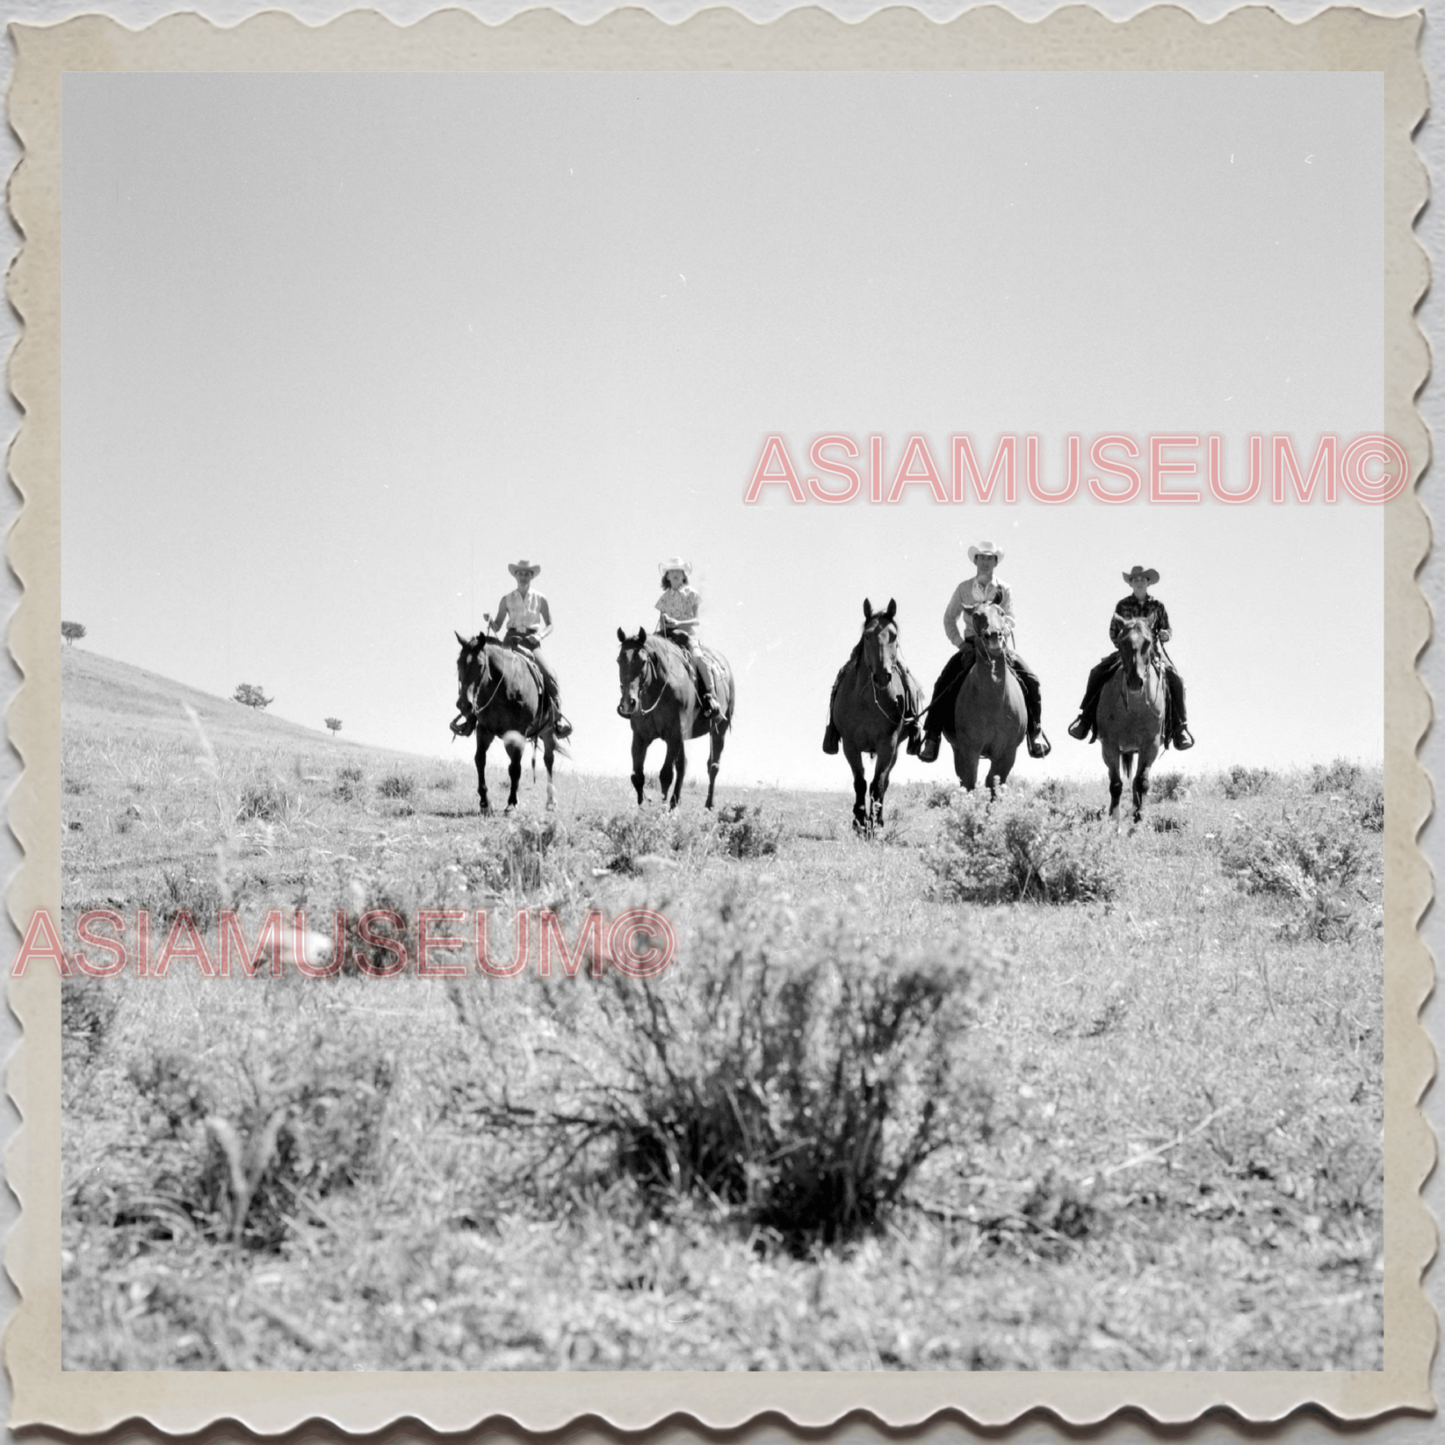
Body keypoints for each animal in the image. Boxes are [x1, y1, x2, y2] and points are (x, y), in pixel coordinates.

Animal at [453, 630, 560, 814]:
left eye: (480, 665)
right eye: (458, 663)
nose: (464, 705)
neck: (505, 687)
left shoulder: (519, 732)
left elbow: (515, 768)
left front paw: (511, 804)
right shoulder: (484, 729)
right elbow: (480, 759)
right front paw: (485, 803)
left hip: (548, 731)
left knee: (548, 760)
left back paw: (551, 801)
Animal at [618, 624, 739, 809]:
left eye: (643, 662)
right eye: (619, 661)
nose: (628, 702)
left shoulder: (673, 736)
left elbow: (666, 774)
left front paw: (662, 807)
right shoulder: (640, 737)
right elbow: (637, 776)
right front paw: (642, 807)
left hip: (719, 730)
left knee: (713, 766)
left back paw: (709, 804)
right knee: (683, 765)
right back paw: (675, 801)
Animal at [832, 592, 919, 832]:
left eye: (893, 635)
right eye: (867, 635)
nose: (882, 676)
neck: (868, 701)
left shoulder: (888, 744)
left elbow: (878, 783)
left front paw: (873, 824)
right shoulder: (850, 745)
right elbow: (860, 782)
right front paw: (859, 820)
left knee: (885, 781)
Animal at [947, 604, 1028, 797]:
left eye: (1002, 613)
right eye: (976, 615)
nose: (993, 635)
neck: (993, 702)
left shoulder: (1007, 752)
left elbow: (993, 783)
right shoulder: (969, 749)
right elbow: (970, 783)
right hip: (957, 750)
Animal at [1098, 609, 1167, 826]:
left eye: (1148, 641)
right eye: (1121, 642)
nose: (1136, 681)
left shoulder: (1150, 744)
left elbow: (1141, 782)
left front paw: (1138, 820)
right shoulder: (1109, 745)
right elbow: (1115, 784)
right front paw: (1115, 821)